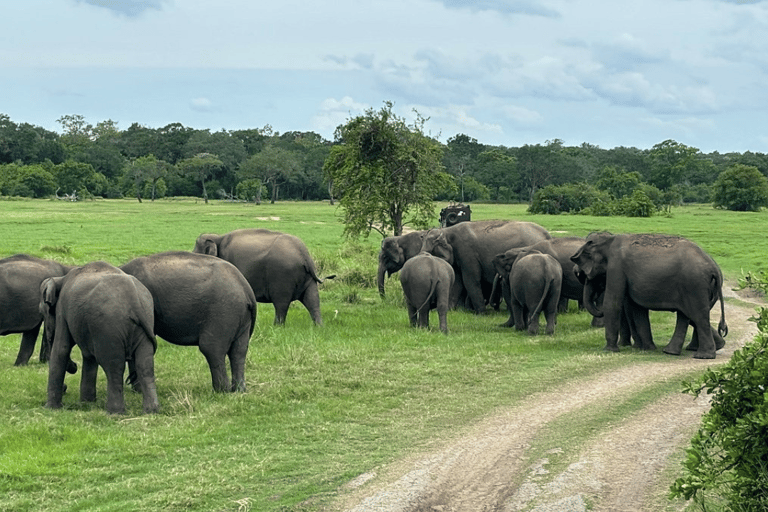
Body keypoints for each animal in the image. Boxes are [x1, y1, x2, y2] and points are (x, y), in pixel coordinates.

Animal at [41, 262, 159, 414]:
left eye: (42, 312)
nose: (74, 367)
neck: (61, 279)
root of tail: (134, 299)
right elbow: (89, 357)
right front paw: (86, 403)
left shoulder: (62, 309)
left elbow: (61, 349)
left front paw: (50, 408)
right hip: (145, 322)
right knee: (145, 365)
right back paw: (151, 411)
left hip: (109, 325)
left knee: (113, 366)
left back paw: (115, 413)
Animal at [121, 252, 255, 392]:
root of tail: (246, 288)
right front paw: (137, 390)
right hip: (241, 316)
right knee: (239, 351)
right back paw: (238, 390)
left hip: (224, 312)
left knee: (212, 348)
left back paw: (221, 391)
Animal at [192, 230, 330, 326]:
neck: (218, 237)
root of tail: (304, 254)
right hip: (307, 277)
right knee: (313, 300)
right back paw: (319, 326)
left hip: (282, 275)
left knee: (281, 302)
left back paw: (277, 327)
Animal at [420, 219, 552, 314]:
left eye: (430, 252)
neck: (447, 230)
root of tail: (547, 234)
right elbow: (458, 282)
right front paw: (450, 310)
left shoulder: (467, 253)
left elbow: (470, 281)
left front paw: (481, 313)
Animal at [568, 233, 728, 358]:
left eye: (585, 274)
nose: (577, 273)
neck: (609, 240)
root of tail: (714, 268)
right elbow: (637, 309)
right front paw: (646, 349)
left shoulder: (616, 266)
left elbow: (613, 303)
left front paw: (609, 350)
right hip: (699, 288)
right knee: (688, 315)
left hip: (694, 285)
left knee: (698, 316)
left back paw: (702, 355)